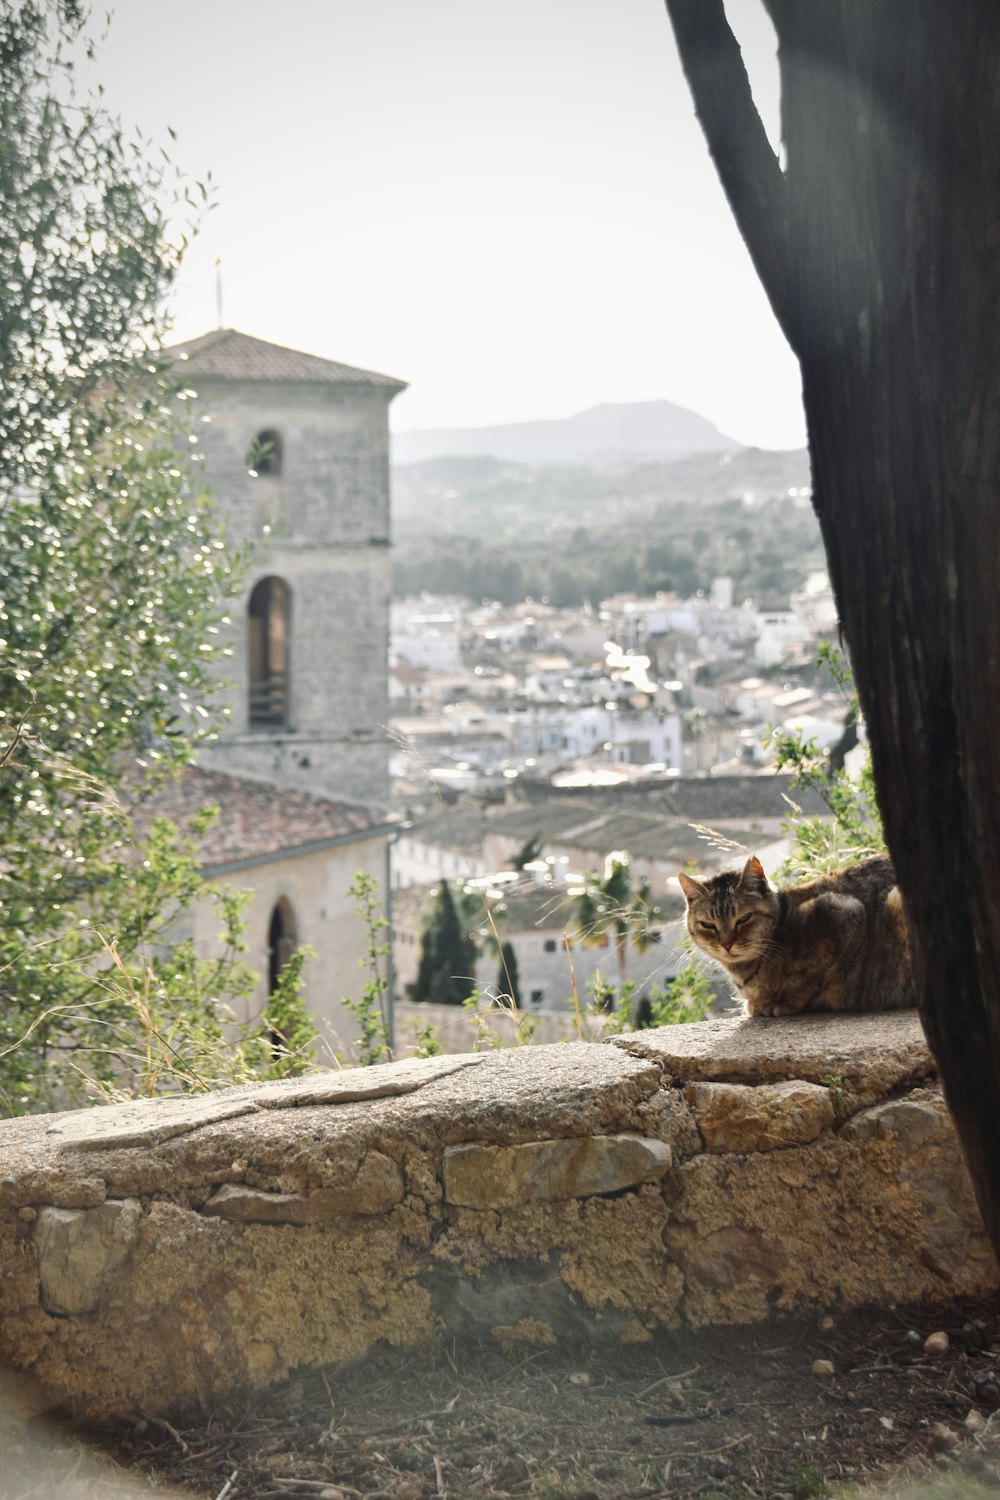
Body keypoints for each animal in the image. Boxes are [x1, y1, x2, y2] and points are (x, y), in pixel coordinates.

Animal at [680, 858, 917, 1020]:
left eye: (744, 918)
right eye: (708, 925)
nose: (726, 944)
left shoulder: (843, 912)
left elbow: (808, 981)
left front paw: (783, 1004)